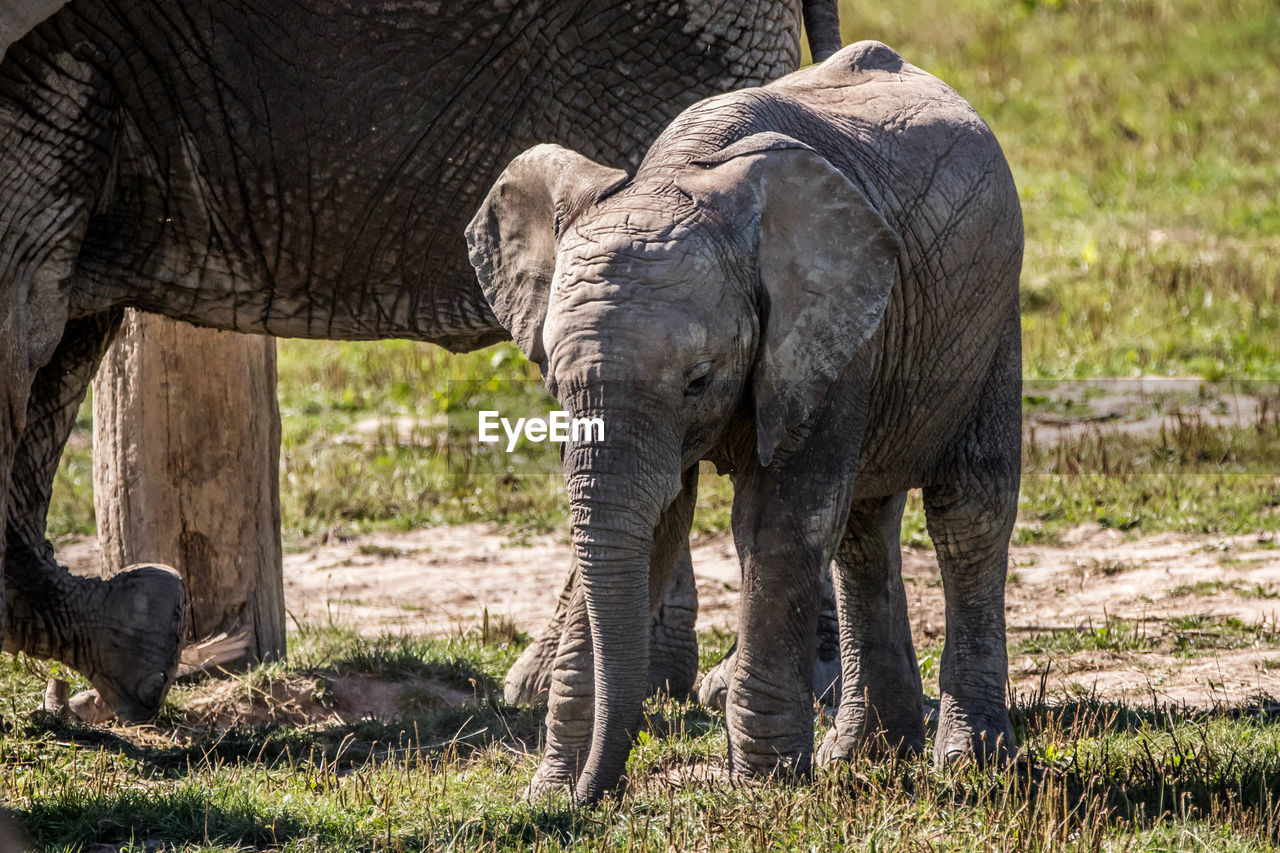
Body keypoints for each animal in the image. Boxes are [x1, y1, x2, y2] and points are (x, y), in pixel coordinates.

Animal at [468, 38, 1018, 799]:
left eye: (698, 379)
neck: (674, 176)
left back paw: (968, 763)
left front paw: (766, 790)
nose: (586, 796)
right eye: (554, 380)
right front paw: (551, 792)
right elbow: (651, 522)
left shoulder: (825, 330)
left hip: (991, 316)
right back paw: (866, 755)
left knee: (967, 510)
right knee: (862, 526)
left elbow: (778, 523)